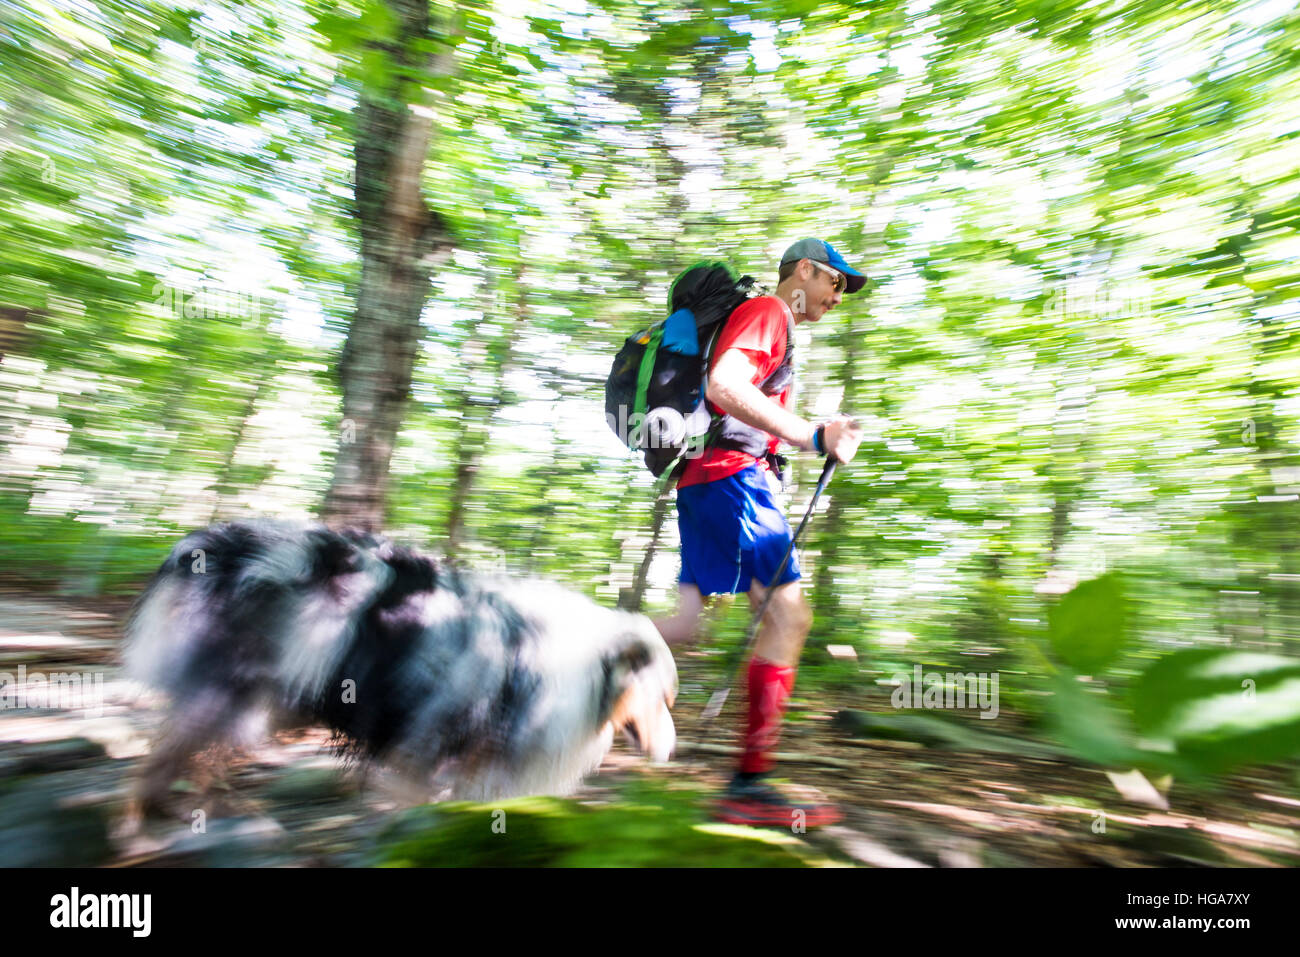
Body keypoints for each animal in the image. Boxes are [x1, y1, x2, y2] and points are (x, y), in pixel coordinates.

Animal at [126, 520, 681, 811]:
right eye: (662, 698)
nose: (672, 752)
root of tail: (216, 545)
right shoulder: (425, 758)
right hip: (226, 695)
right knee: (157, 764)